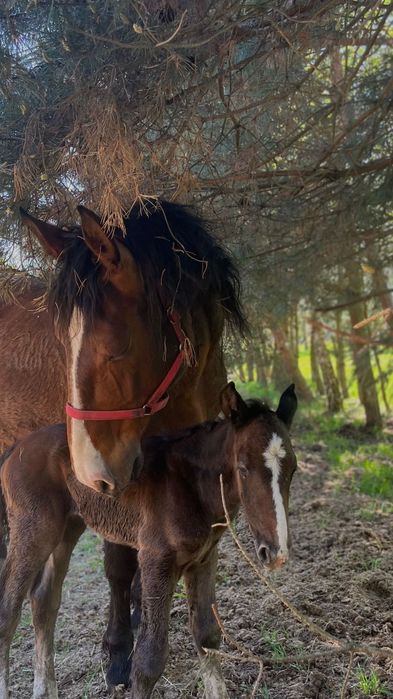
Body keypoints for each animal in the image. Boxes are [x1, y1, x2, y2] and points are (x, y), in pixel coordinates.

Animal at [0, 382, 296, 699]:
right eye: (243, 468)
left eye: (293, 470)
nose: (275, 552)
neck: (190, 484)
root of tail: (16, 449)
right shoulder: (157, 560)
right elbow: (149, 658)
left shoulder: (203, 558)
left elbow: (207, 635)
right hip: (33, 530)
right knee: (9, 611)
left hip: (66, 529)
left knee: (44, 600)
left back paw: (45, 690)